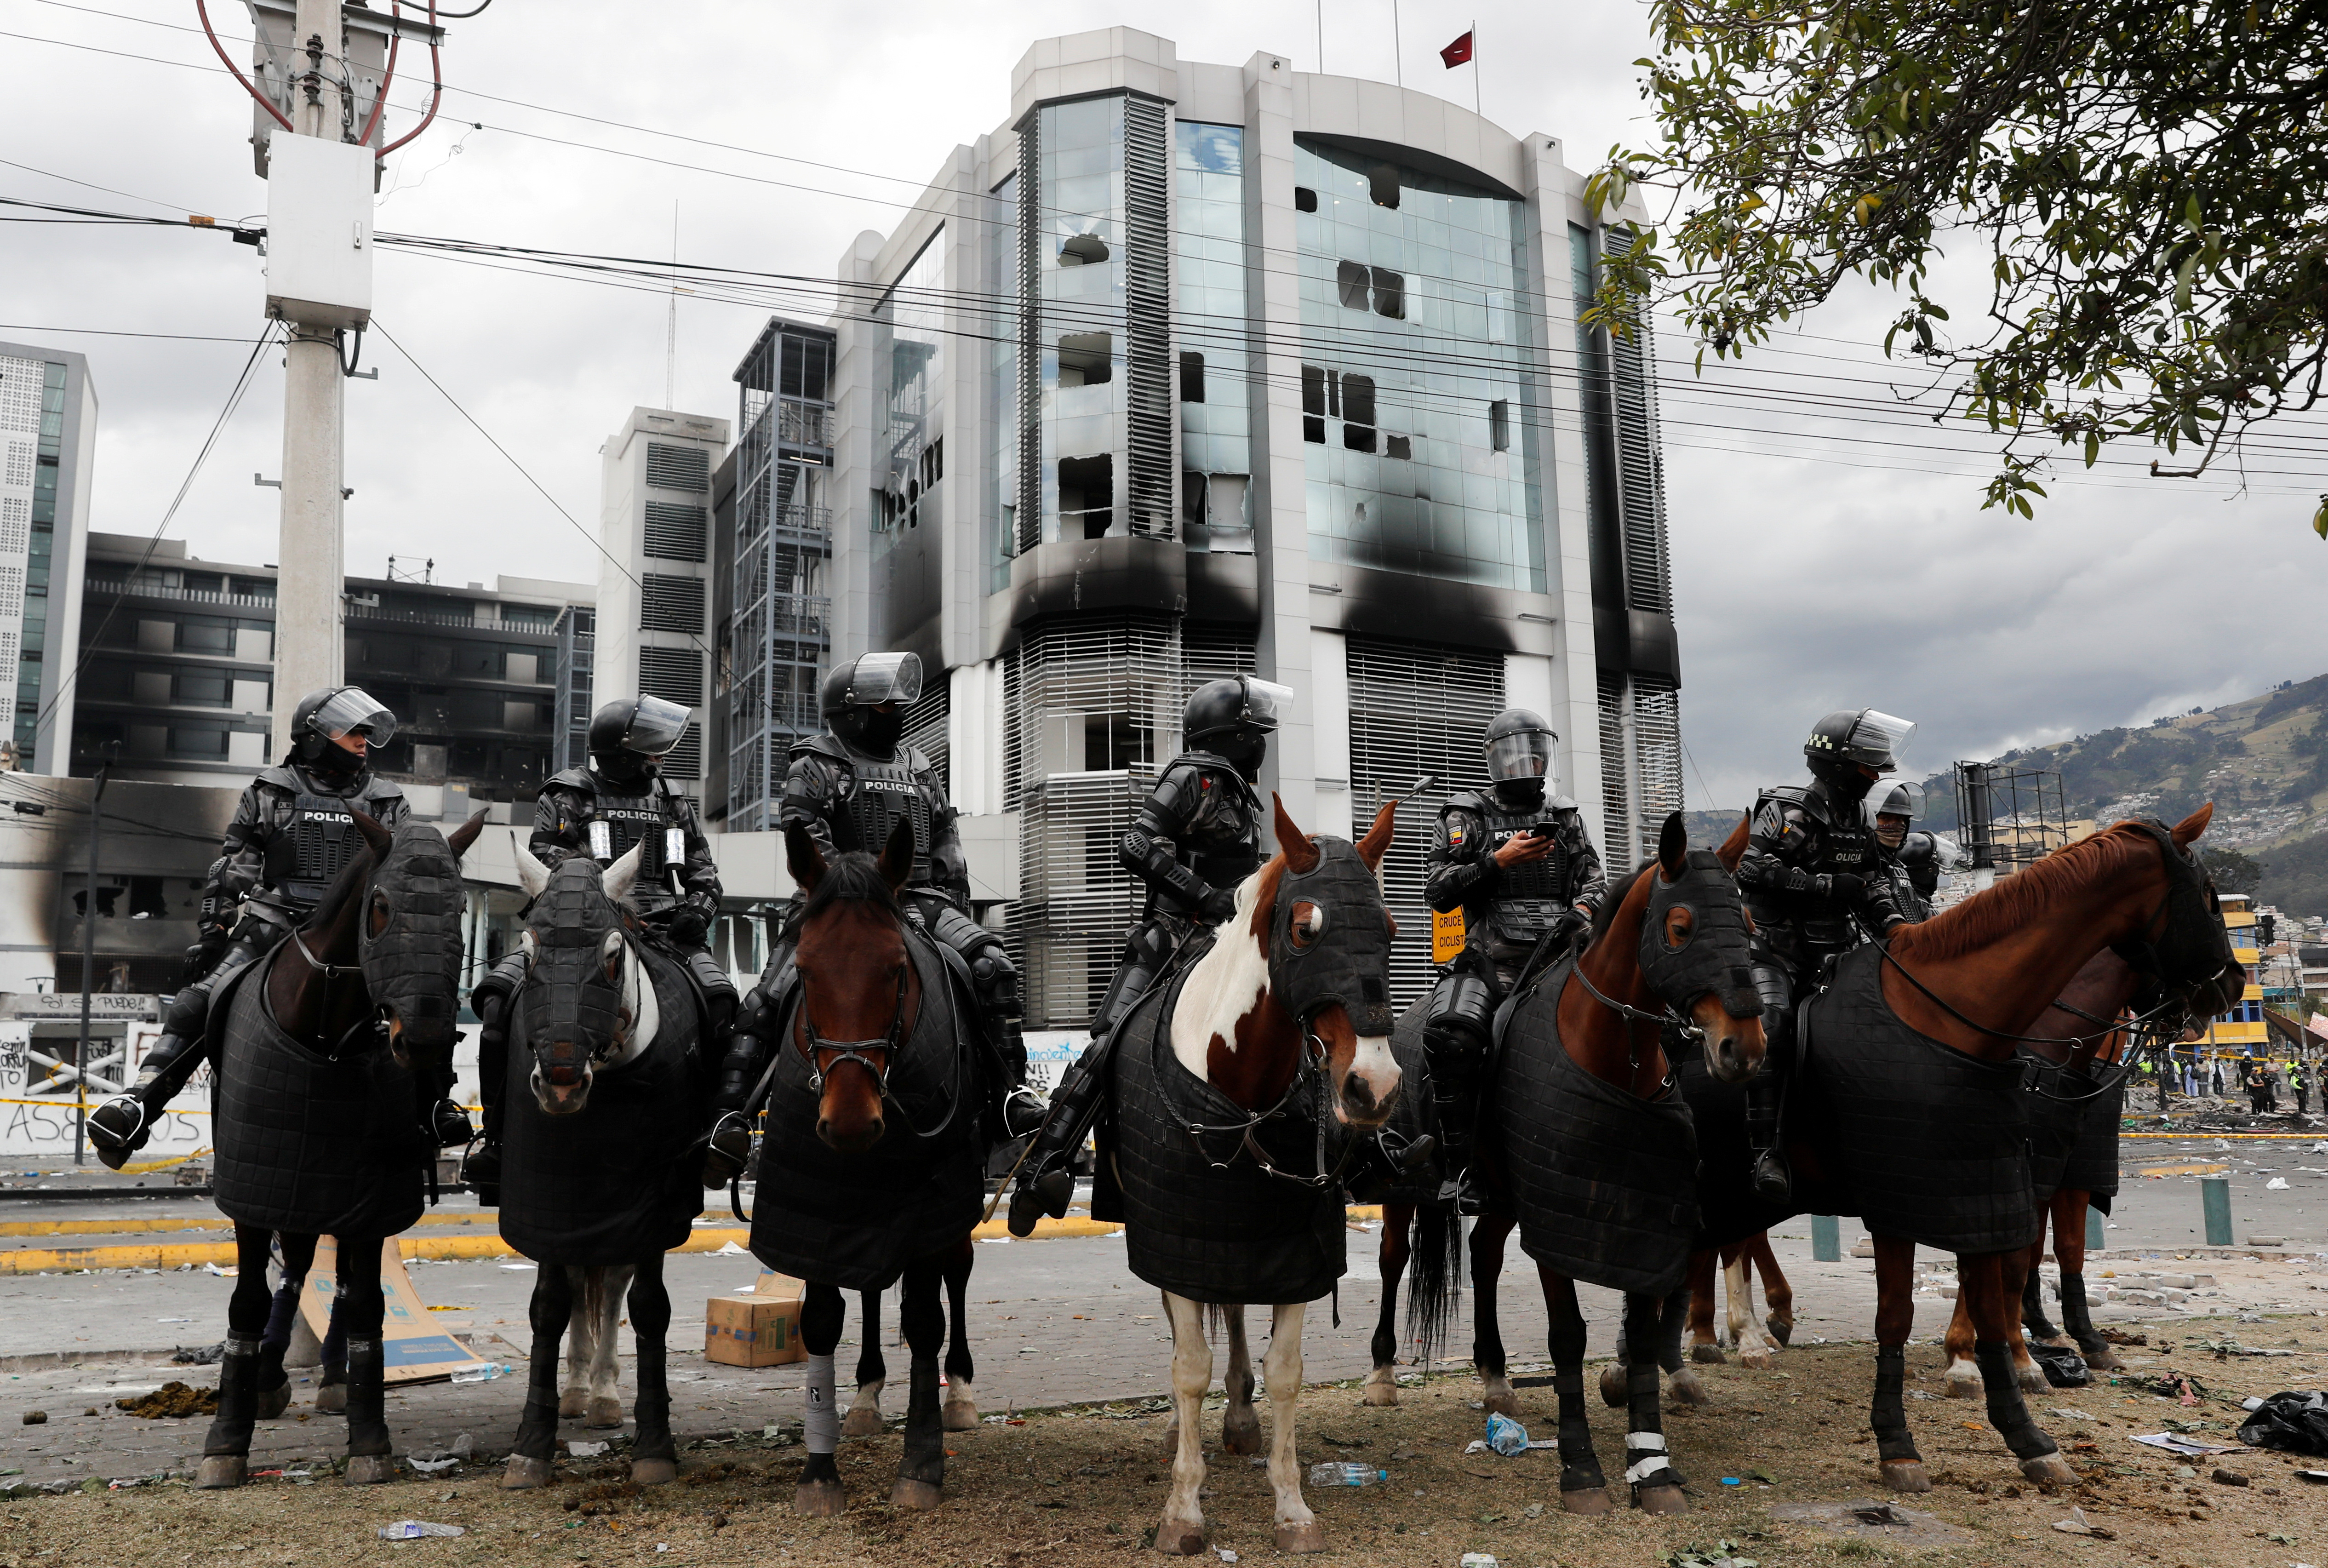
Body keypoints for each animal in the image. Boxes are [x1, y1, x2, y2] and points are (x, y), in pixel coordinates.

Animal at [1788, 814, 2244, 1479]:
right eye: (2210, 897)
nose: (2232, 984)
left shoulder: (2043, 1169)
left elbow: (2047, 1254)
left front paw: (2044, 1347)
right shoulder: (1993, 1172)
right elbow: (2000, 1263)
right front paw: (1980, 1359)